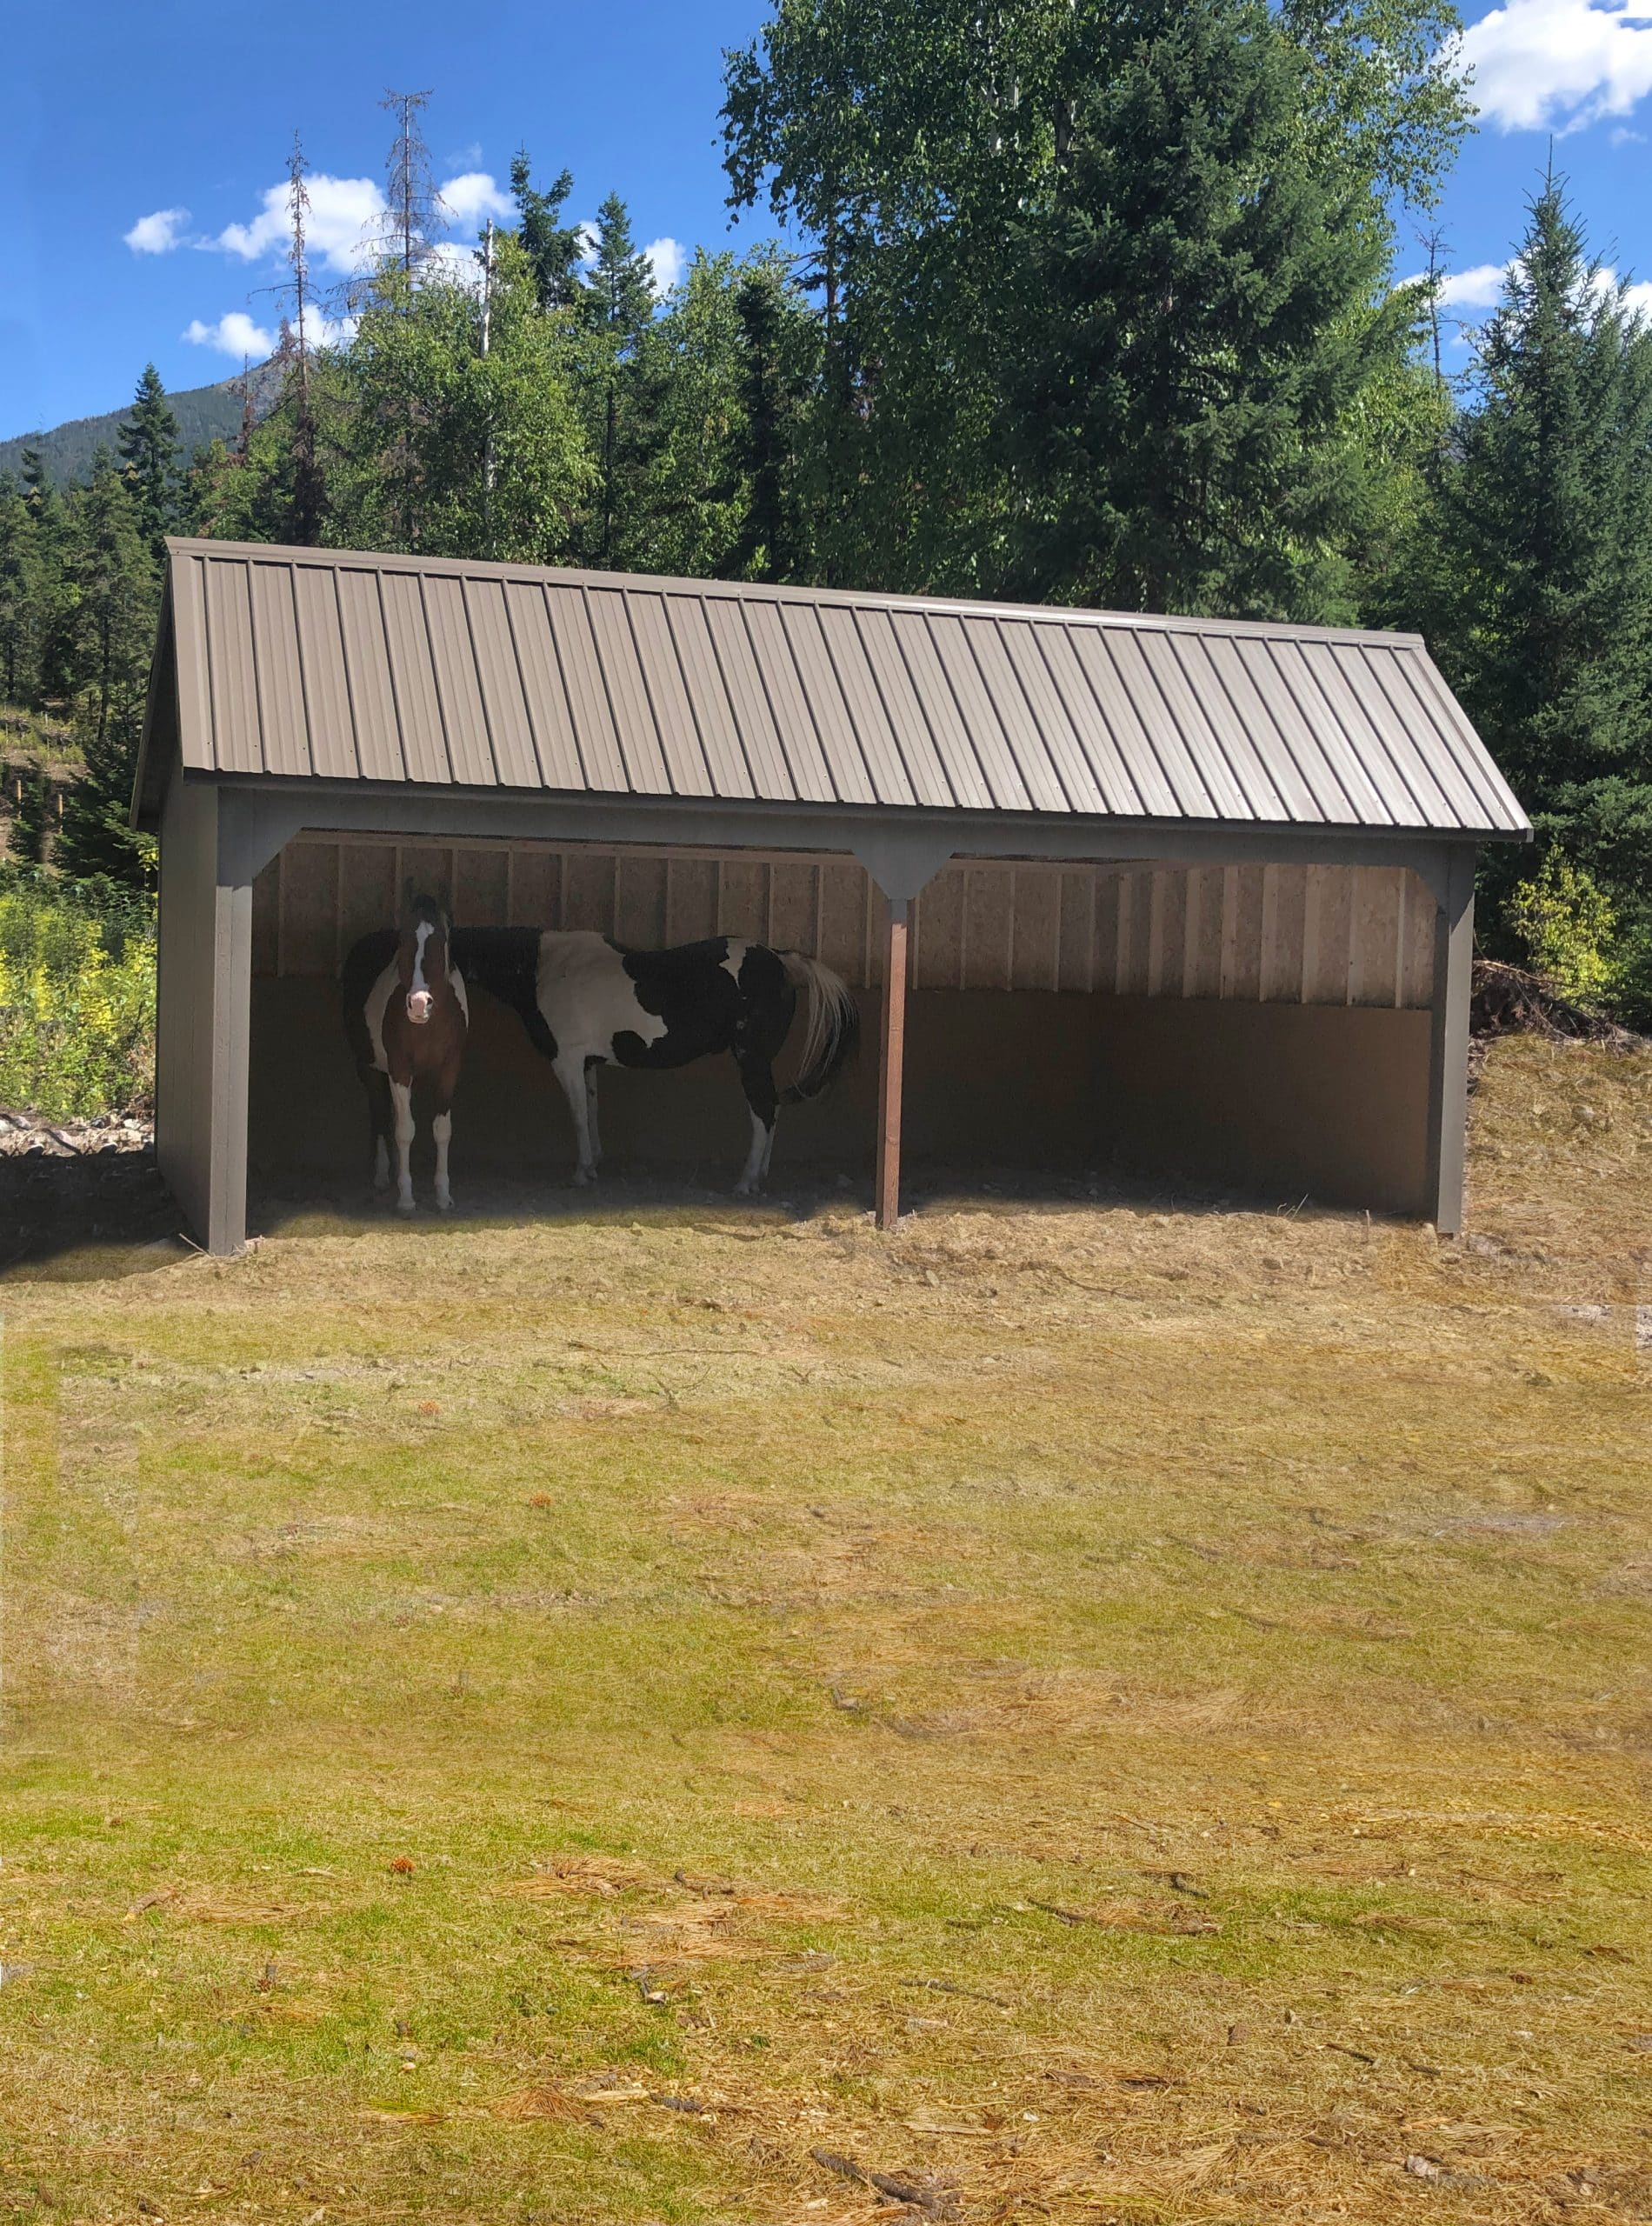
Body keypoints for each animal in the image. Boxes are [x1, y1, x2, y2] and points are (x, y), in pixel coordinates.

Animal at [343, 890, 471, 1219]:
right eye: (404, 941)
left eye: (441, 940)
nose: (418, 1004)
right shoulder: (399, 1069)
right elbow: (404, 1130)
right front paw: (406, 1199)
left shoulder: (450, 1069)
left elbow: (442, 1130)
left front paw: (443, 1196)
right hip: (369, 1067)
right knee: (380, 1112)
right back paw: (382, 1176)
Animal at [456, 925, 868, 1193]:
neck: (546, 968)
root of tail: (780, 960)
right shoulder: (586, 1062)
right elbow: (591, 1111)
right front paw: (595, 1166)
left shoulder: (567, 1060)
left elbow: (577, 1116)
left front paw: (581, 1172)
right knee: (773, 1110)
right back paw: (760, 1176)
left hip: (750, 1058)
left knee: (764, 1112)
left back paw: (746, 1181)